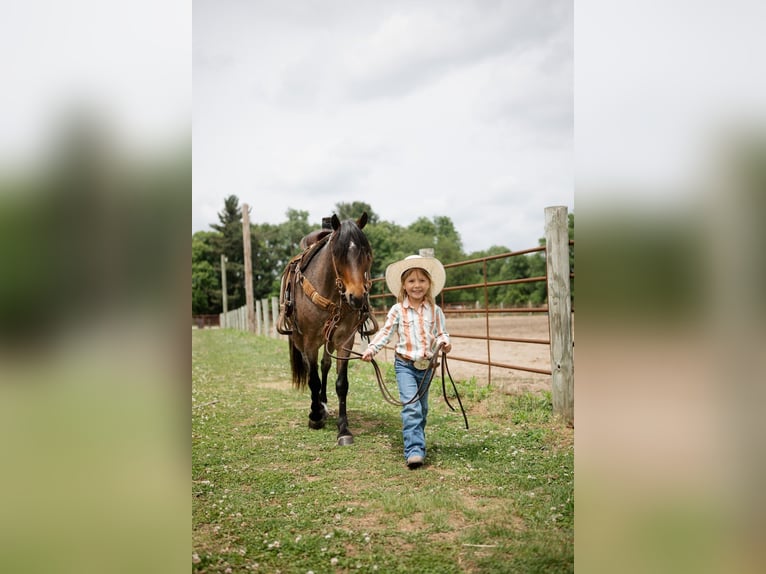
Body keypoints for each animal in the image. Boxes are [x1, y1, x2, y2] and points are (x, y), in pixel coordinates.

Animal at [282, 212, 377, 446]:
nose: (357, 297)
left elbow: (342, 383)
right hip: (300, 340)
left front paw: (343, 429)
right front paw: (315, 416)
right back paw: (317, 408)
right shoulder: (309, 341)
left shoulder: (344, 340)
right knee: (311, 370)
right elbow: (313, 379)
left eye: (367, 254)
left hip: (329, 341)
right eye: (338, 254)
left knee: (325, 365)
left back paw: (323, 403)